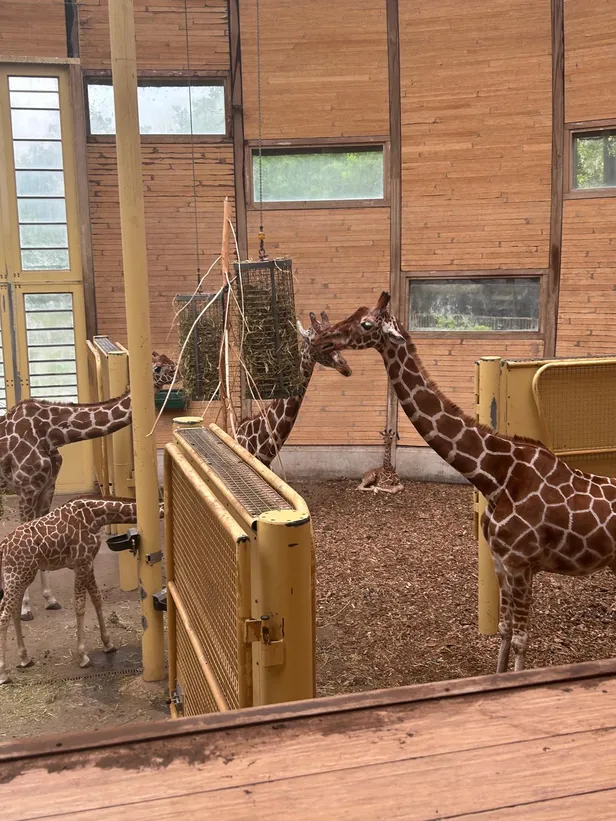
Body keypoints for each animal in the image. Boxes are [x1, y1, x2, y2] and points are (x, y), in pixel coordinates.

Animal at [0, 496, 164, 684]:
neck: (96, 516)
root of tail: (3, 546)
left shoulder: (88, 563)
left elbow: (97, 599)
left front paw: (108, 644)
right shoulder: (81, 563)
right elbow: (80, 607)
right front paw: (83, 656)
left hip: (19, 576)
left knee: (13, 610)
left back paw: (25, 658)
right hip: (18, 575)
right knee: (4, 615)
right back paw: (4, 673)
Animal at [3, 351, 175, 620]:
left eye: (170, 362)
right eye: (159, 368)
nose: (179, 371)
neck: (51, 433)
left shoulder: (47, 487)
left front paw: (50, 599)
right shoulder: (26, 487)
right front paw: (25, 608)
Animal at [313, 290, 616, 673]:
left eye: (366, 324)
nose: (323, 340)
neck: (496, 476)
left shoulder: (521, 563)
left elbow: (521, 639)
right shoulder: (502, 562)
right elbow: (504, 631)